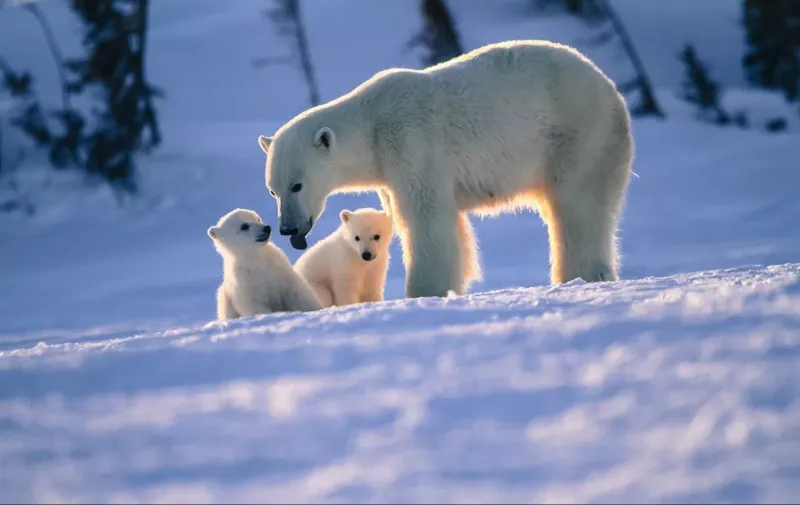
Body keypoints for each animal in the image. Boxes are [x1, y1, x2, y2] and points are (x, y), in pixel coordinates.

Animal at [260, 41, 636, 300]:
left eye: (297, 185)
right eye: (273, 190)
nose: (287, 228)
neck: (372, 126)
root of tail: (612, 91)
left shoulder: (411, 143)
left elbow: (425, 219)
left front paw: (423, 291)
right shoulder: (388, 172)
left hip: (578, 134)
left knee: (577, 207)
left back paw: (581, 275)